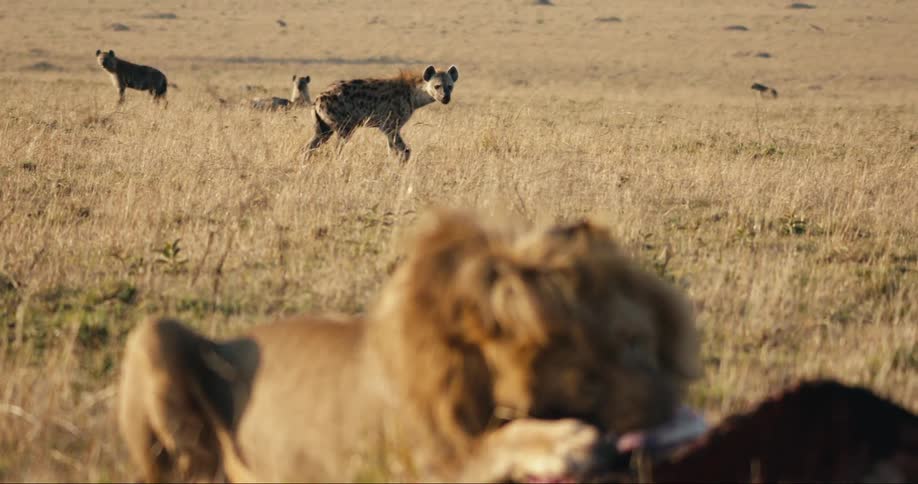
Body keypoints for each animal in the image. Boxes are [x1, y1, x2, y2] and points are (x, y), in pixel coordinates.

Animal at [117, 209, 701, 483]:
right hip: (154, 335)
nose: (674, 405)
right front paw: (564, 442)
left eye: (644, 342)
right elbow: (490, 446)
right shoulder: (419, 465)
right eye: (629, 346)